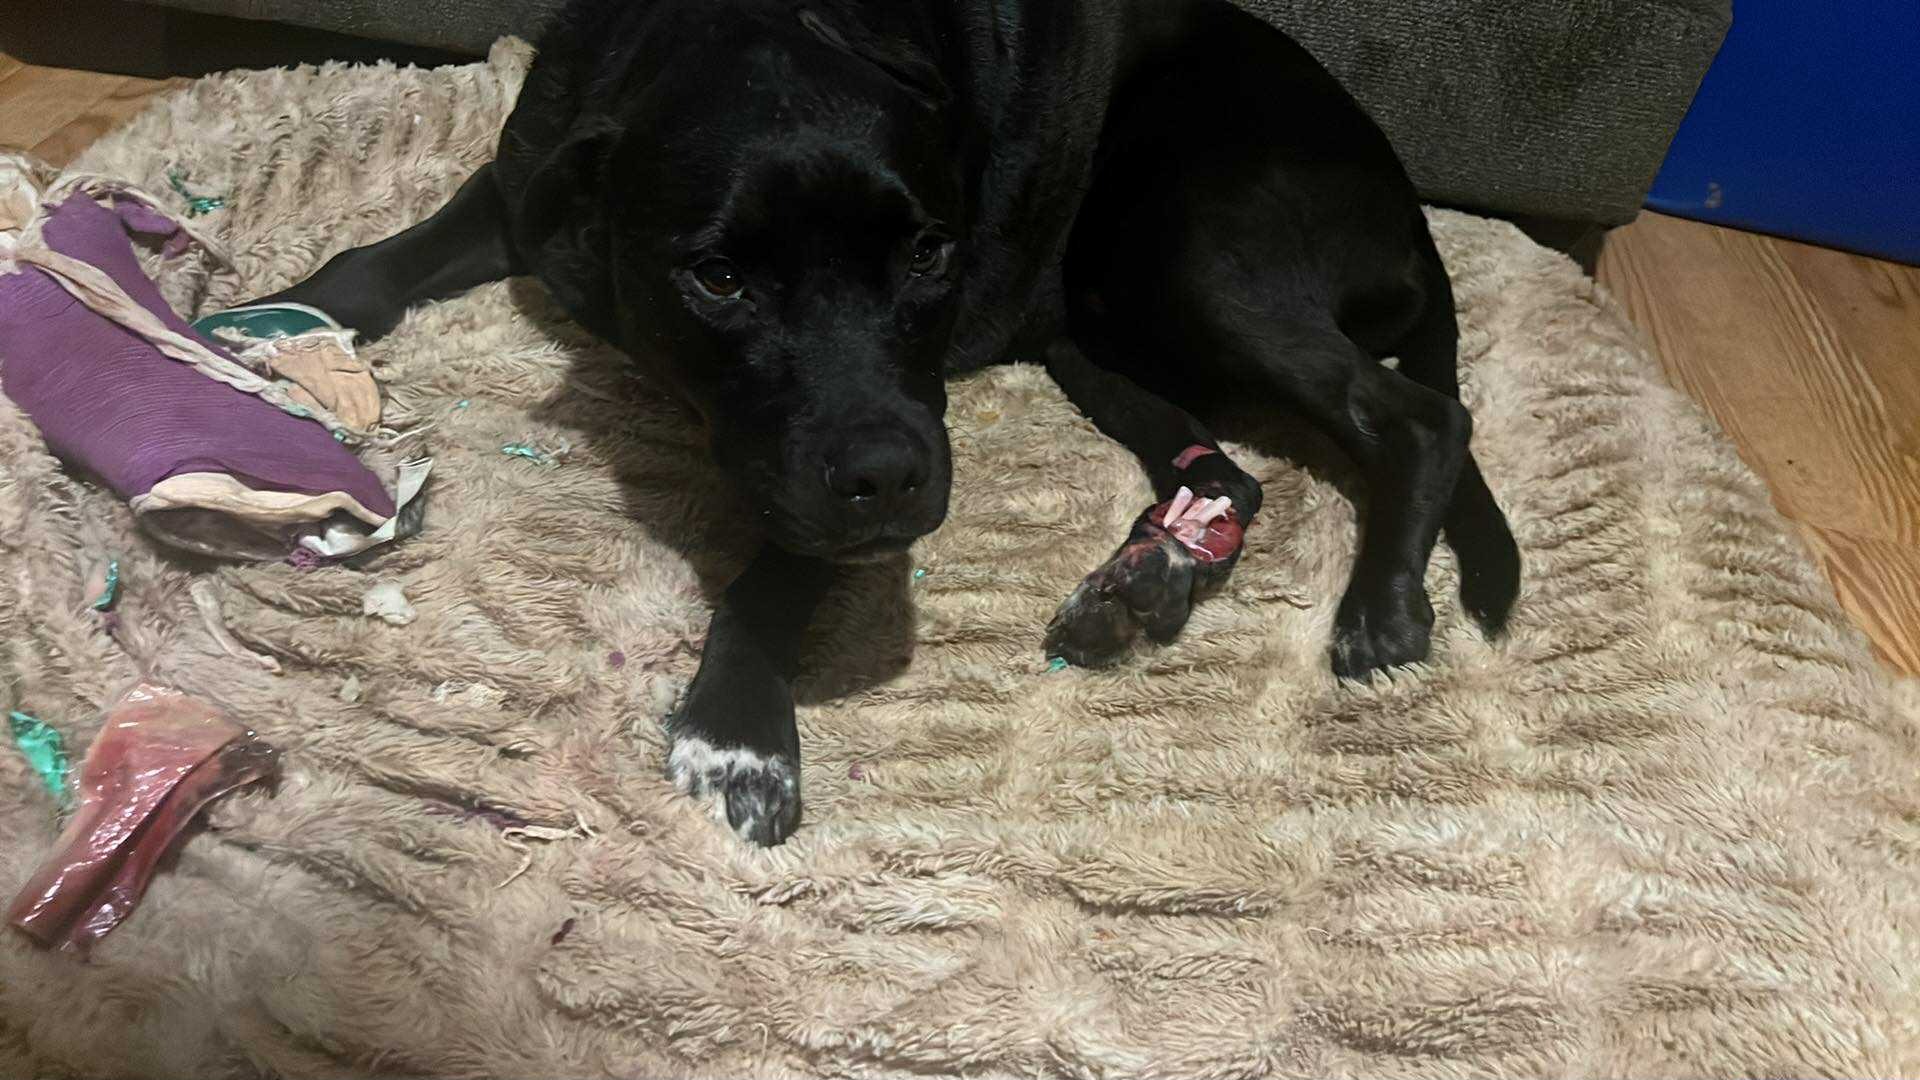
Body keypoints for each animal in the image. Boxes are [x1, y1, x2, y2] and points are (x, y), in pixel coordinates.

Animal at [258, 0, 1521, 845]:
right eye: (718, 278)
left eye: (927, 253)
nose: (891, 481)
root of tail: (1412, 207)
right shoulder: (528, 186)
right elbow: (382, 260)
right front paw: (270, 318)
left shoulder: (874, 438)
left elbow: (775, 574)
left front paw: (740, 731)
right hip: (1095, 326)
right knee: (1237, 470)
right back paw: (1148, 579)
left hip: (1192, 256)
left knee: (1420, 412)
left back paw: (1381, 606)